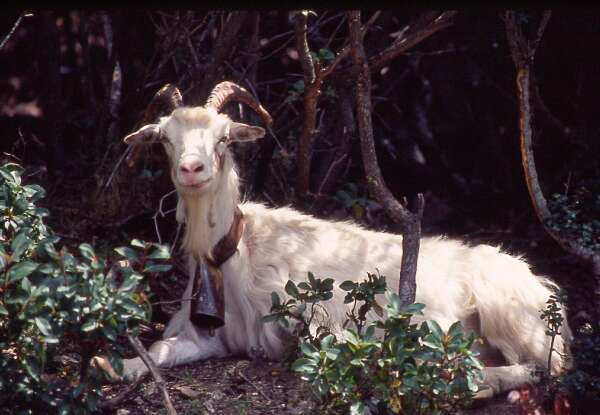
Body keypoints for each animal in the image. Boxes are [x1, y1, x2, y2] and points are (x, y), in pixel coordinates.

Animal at [99, 82, 572, 400]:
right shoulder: (212, 336)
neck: (234, 254)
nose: (191, 170)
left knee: (540, 368)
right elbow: (159, 348)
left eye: (224, 137)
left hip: (509, 317)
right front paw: (112, 365)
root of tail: (543, 289)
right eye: (164, 139)